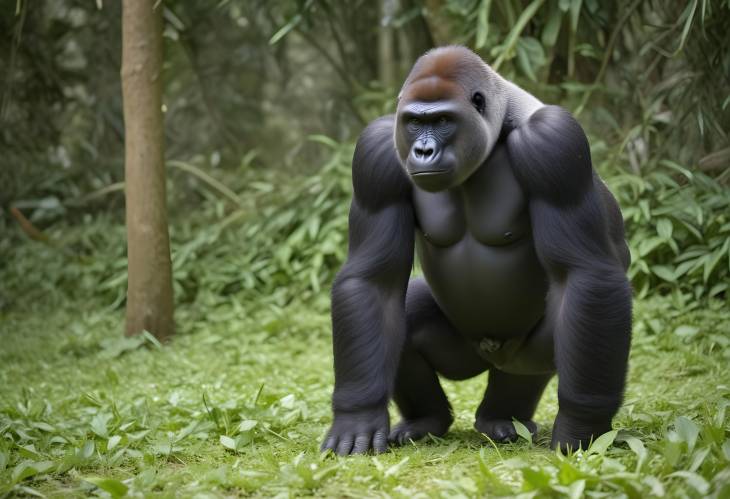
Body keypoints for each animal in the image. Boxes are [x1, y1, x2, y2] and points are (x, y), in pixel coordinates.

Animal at [322, 47, 628, 458]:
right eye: (414, 123)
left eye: (442, 120)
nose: (423, 150)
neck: (500, 121)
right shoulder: (375, 152)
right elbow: (373, 283)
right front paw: (357, 415)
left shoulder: (554, 142)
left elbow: (585, 274)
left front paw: (583, 427)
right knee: (402, 312)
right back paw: (433, 419)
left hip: (524, 356)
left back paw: (504, 416)